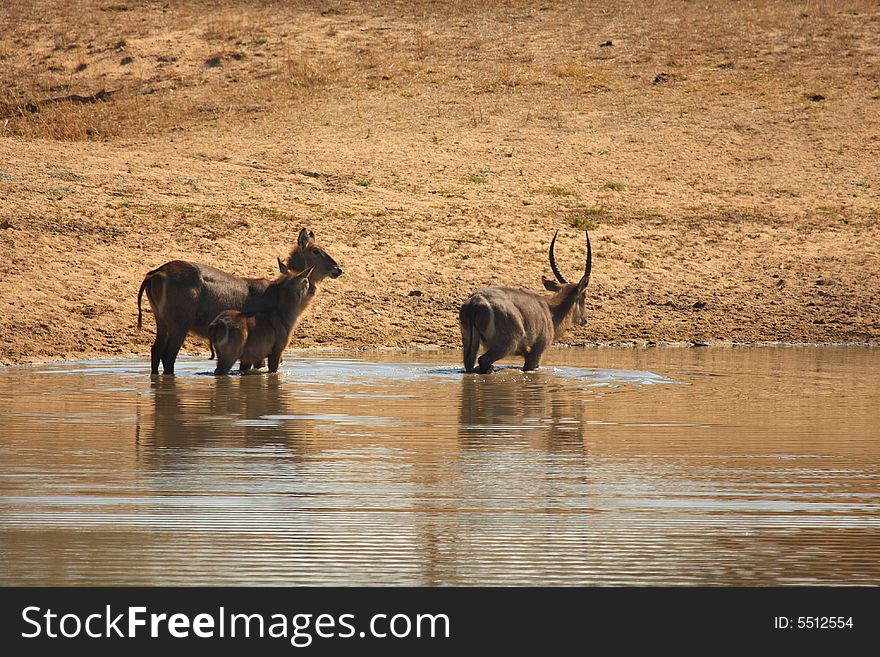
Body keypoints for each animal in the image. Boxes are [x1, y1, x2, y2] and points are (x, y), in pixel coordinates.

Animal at [458, 232, 596, 374]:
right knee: (483, 361)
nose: (585, 320)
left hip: (469, 343)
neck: (550, 311)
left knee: (470, 365)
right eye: (584, 295)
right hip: (505, 345)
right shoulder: (535, 353)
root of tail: (476, 301)